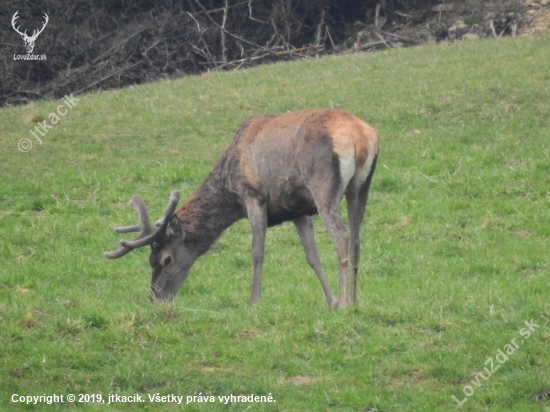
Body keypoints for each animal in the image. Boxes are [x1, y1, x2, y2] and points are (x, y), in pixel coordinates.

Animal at [104, 108, 380, 308]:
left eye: (165, 259)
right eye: (150, 260)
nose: (156, 297)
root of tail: (361, 136)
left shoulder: (252, 196)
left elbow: (257, 253)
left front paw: (253, 302)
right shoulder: (297, 210)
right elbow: (312, 256)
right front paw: (329, 301)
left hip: (323, 186)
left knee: (341, 235)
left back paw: (345, 301)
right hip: (361, 186)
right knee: (357, 239)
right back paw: (354, 300)